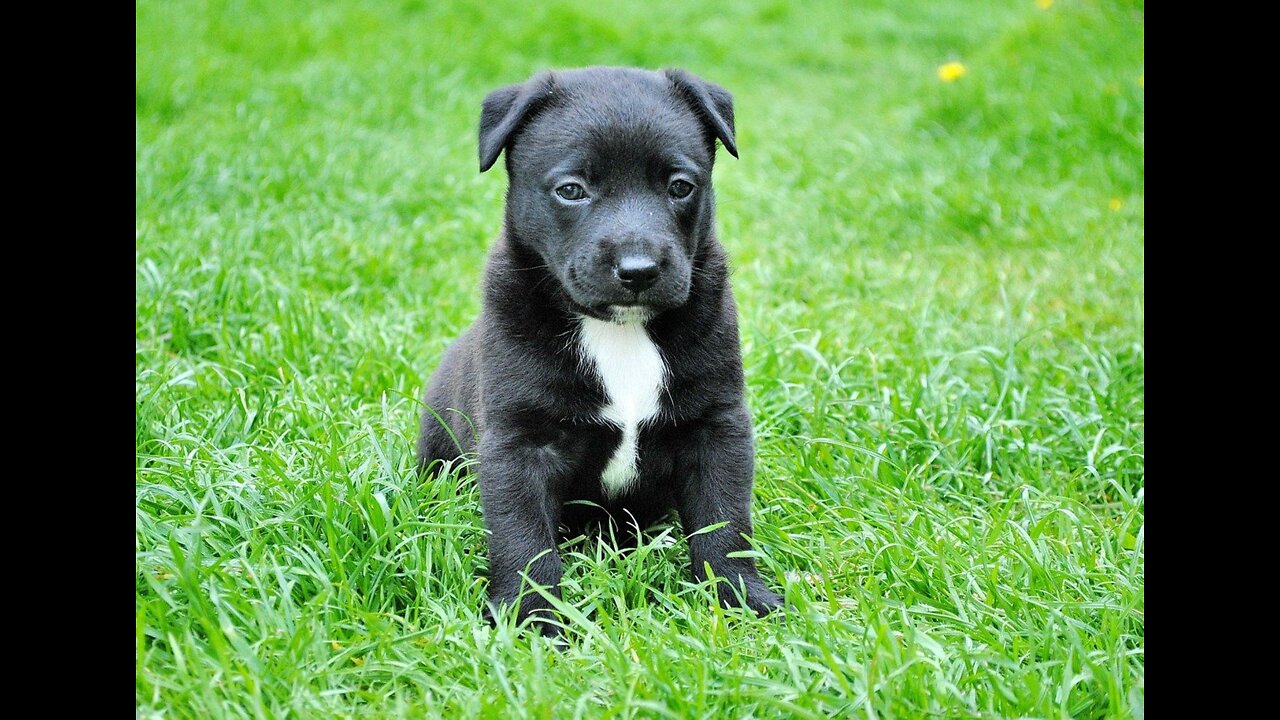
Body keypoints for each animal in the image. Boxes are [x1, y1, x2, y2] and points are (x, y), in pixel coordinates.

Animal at [419, 64, 778, 630]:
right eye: (571, 190)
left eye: (680, 187)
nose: (638, 270)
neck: (620, 330)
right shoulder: (519, 442)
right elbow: (524, 541)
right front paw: (532, 621)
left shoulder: (715, 425)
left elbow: (725, 522)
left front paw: (742, 597)